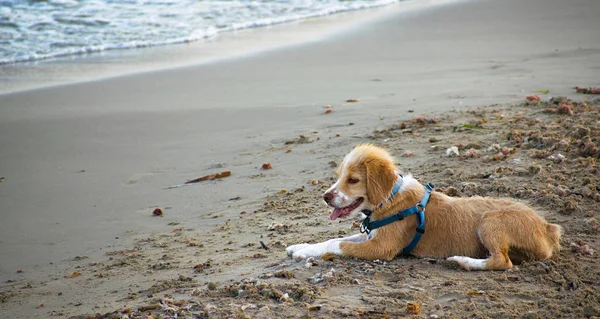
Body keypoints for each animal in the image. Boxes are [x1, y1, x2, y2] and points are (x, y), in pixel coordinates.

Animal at [286, 144, 564, 272]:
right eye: (338, 176)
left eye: (353, 180)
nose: (325, 197)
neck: (390, 198)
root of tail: (547, 227)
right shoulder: (371, 235)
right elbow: (334, 239)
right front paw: (301, 246)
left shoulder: (382, 247)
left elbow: (339, 245)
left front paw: (303, 253)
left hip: (491, 221)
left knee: (502, 261)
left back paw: (463, 261)